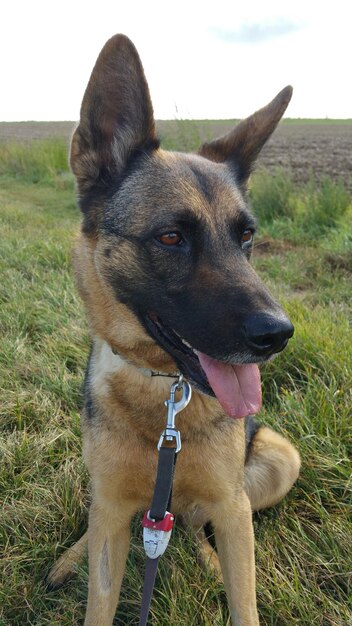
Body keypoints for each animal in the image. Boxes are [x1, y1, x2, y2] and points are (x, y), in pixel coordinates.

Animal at [46, 35, 300, 624]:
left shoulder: (233, 510)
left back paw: (205, 558)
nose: (278, 335)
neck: (166, 396)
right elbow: (99, 595)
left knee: (193, 521)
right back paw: (70, 557)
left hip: (277, 460)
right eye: (170, 238)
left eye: (247, 236)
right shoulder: (112, 515)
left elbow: (243, 600)